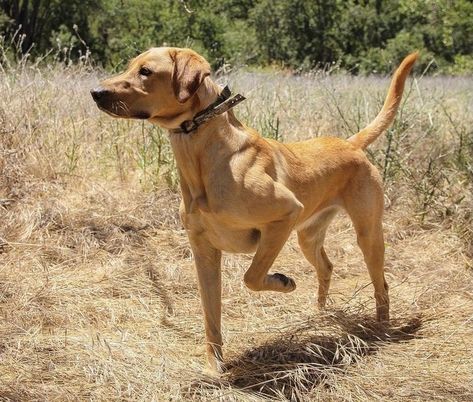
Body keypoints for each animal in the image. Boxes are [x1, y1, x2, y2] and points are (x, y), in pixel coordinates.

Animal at [92, 48, 416, 372]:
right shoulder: (203, 252)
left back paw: (380, 328)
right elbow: (211, 315)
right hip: (308, 237)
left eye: (145, 71)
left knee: (382, 284)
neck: (204, 157)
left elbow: (252, 276)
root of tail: (349, 144)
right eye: (130, 66)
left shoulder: (285, 214)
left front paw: (284, 282)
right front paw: (214, 366)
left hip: (368, 234)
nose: (95, 92)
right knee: (326, 267)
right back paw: (320, 314)